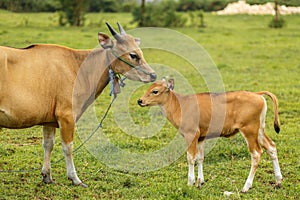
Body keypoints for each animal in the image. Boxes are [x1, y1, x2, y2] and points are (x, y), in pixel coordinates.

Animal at [0, 22, 157, 187]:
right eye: (133, 55)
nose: (153, 75)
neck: (77, 66)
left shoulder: (49, 121)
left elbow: (48, 144)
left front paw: (47, 175)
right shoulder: (67, 116)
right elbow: (68, 147)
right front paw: (74, 178)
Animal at [139, 79, 284, 193]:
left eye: (155, 91)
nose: (140, 100)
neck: (180, 105)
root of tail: (256, 94)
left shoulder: (191, 134)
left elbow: (190, 158)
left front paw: (190, 182)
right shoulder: (201, 138)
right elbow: (200, 158)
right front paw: (200, 181)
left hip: (249, 130)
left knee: (256, 153)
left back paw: (246, 186)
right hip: (259, 130)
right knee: (271, 147)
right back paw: (278, 181)